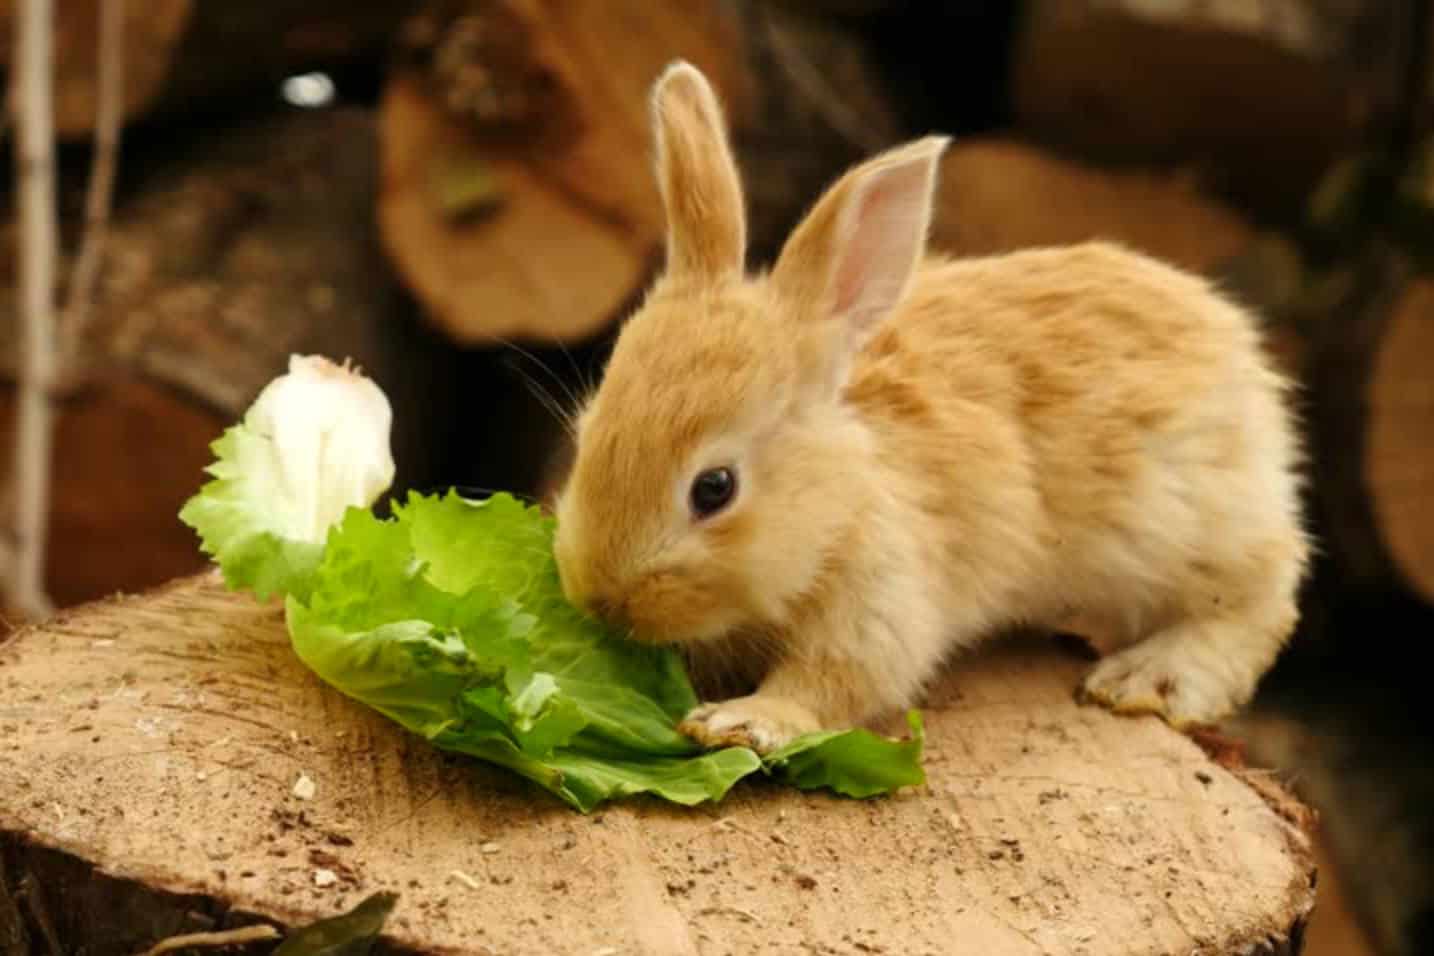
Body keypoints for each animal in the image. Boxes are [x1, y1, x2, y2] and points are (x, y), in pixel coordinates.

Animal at [547, 59, 1313, 756]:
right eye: (587, 436)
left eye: (714, 488)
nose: (600, 599)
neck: (840, 497)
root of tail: (1234, 345)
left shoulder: (883, 593)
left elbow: (836, 679)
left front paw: (743, 723)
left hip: (1197, 528)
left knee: (1261, 598)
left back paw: (1147, 679)